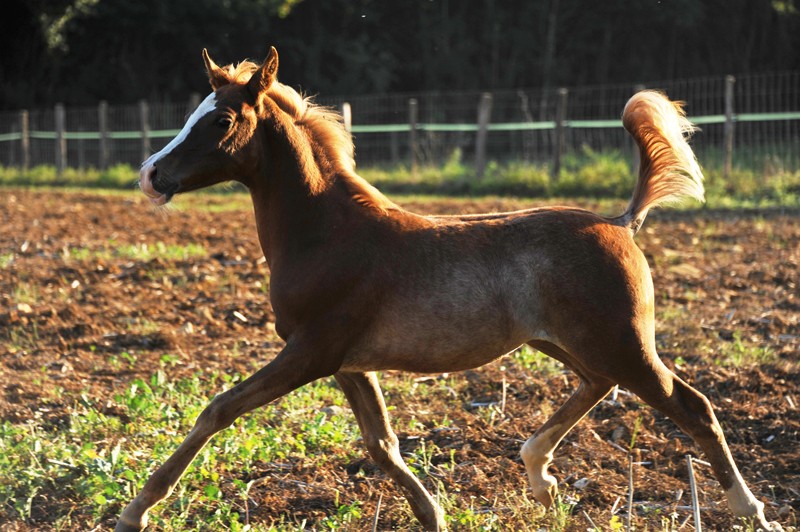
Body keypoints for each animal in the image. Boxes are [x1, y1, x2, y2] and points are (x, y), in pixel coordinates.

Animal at [117, 47, 780, 528]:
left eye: (222, 119)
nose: (151, 175)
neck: (328, 232)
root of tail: (621, 220)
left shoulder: (312, 351)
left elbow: (219, 408)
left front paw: (135, 511)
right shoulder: (349, 364)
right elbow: (383, 445)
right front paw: (433, 515)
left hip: (622, 343)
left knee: (690, 405)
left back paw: (751, 510)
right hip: (567, 342)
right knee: (599, 384)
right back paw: (539, 474)